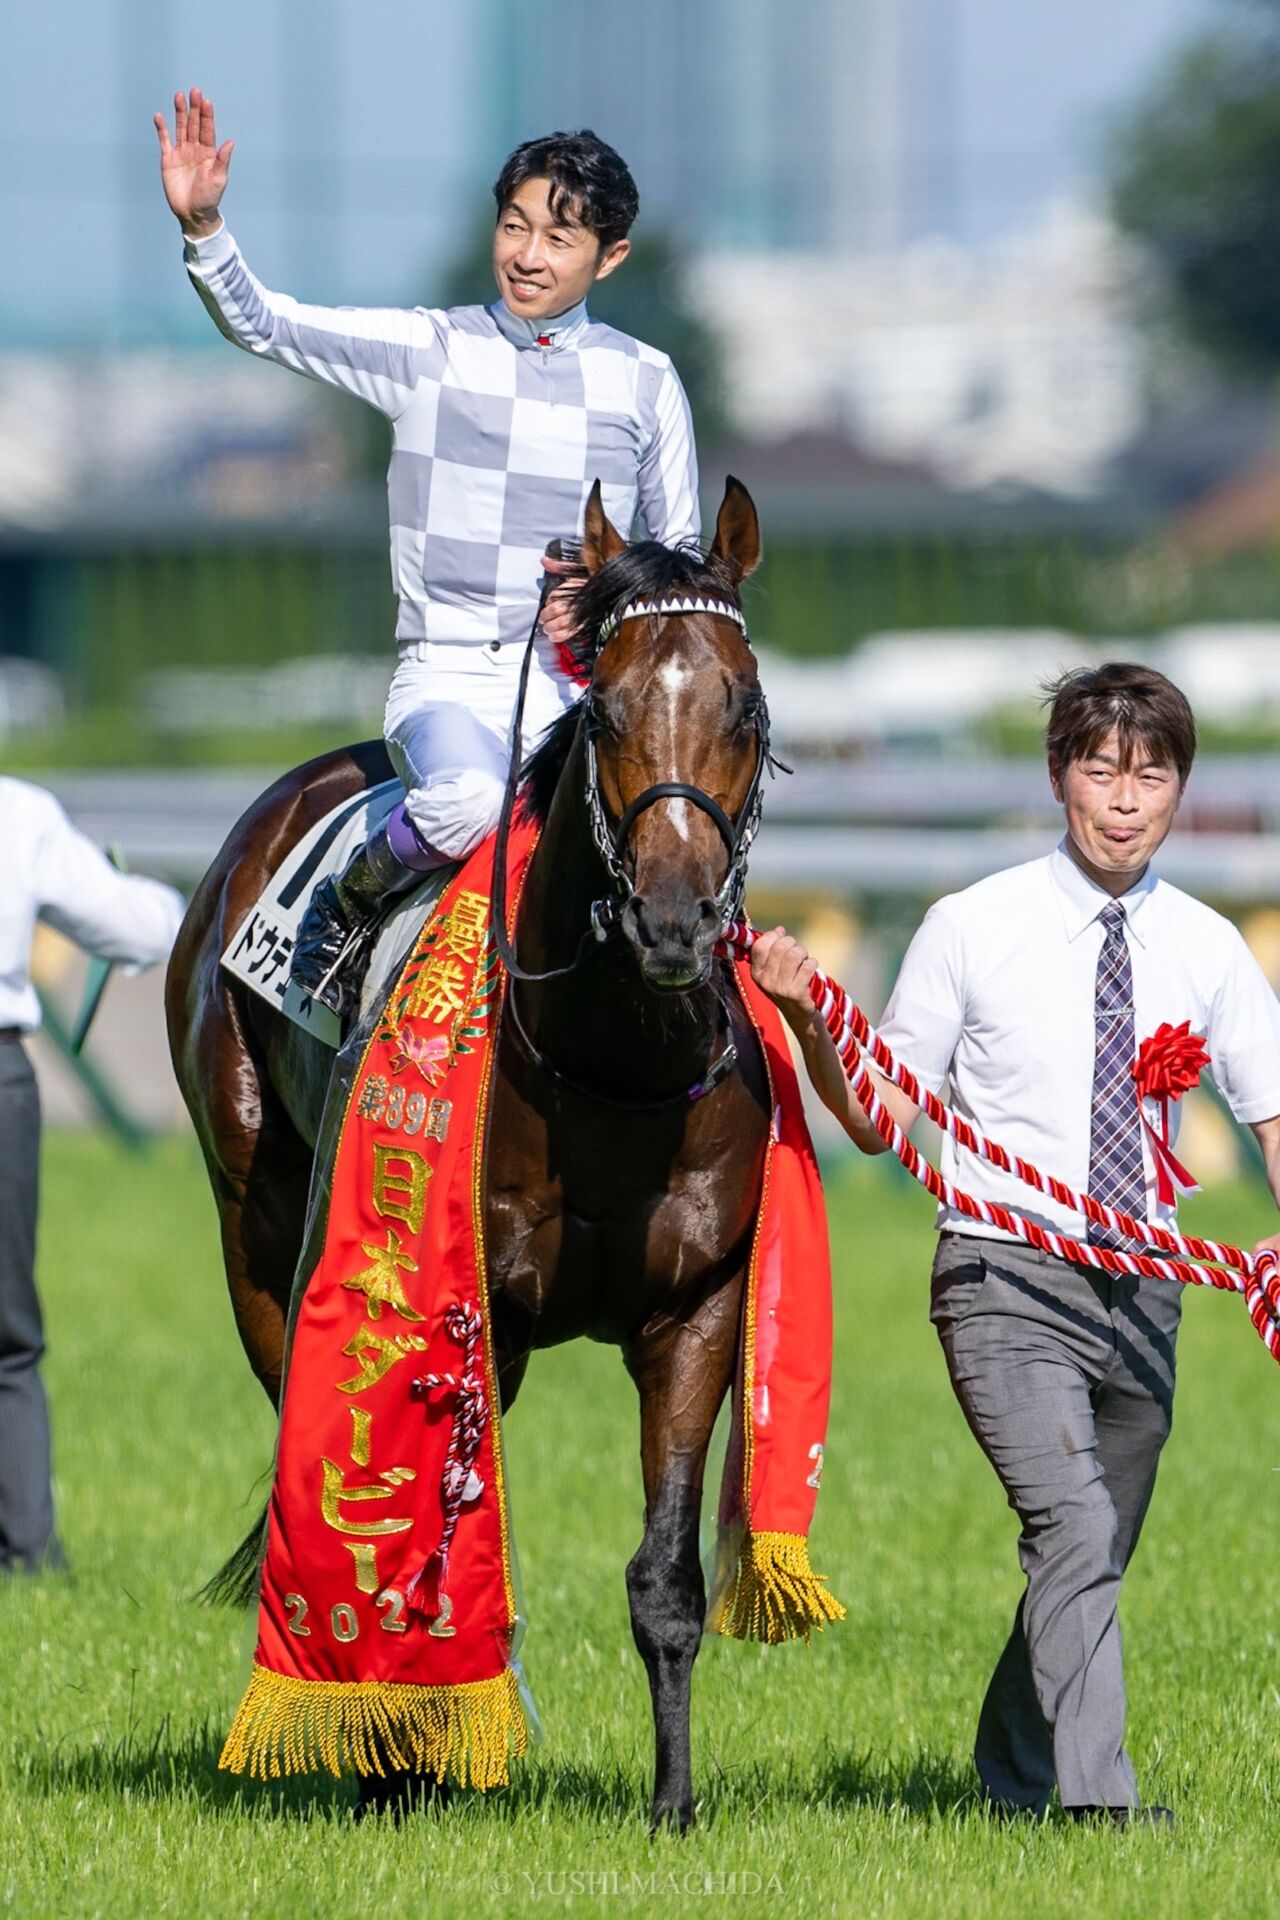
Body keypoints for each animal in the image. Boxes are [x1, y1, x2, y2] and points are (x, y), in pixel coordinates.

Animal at [165, 483, 775, 1827]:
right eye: (602, 710)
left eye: (745, 708)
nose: (670, 920)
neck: (608, 1065)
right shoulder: (465, 1304)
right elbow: (422, 1533)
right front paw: (402, 1758)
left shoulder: (695, 1309)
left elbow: (664, 1579)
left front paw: (672, 1801)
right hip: (255, 1222)